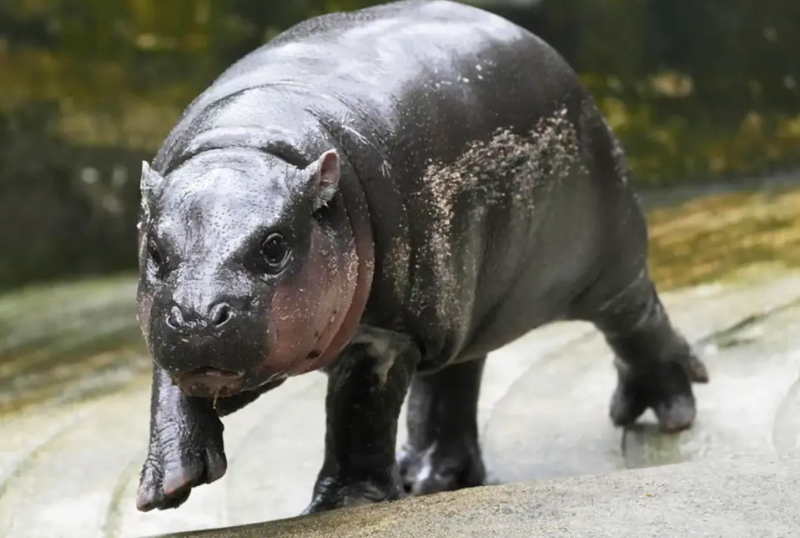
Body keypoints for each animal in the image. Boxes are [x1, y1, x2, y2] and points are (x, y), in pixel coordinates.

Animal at [134, 0, 709, 514]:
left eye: (275, 246)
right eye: (155, 250)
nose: (198, 317)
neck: (249, 143)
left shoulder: (390, 332)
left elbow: (359, 412)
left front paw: (342, 505)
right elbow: (169, 385)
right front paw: (168, 485)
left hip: (603, 261)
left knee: (636, 318)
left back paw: (666, 411)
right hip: (465, 303)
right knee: (453, 381)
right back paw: (430, 477)